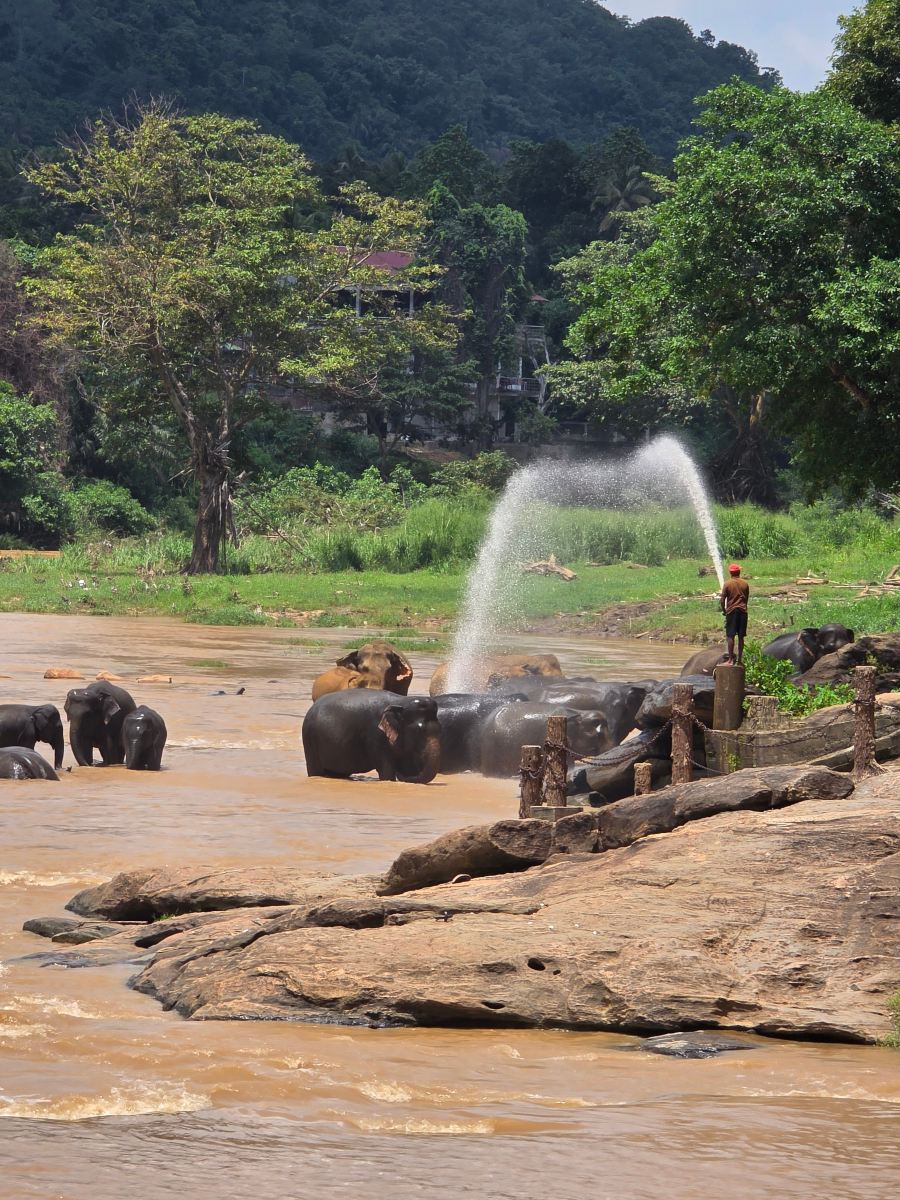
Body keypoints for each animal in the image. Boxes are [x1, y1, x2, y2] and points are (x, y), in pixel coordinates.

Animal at [302, 690, 441, 783]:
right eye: (419, 730)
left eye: (440, 728)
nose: (400, 775)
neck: (401, 701)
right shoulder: (376, 736)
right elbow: (386, 770)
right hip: (310, 741)